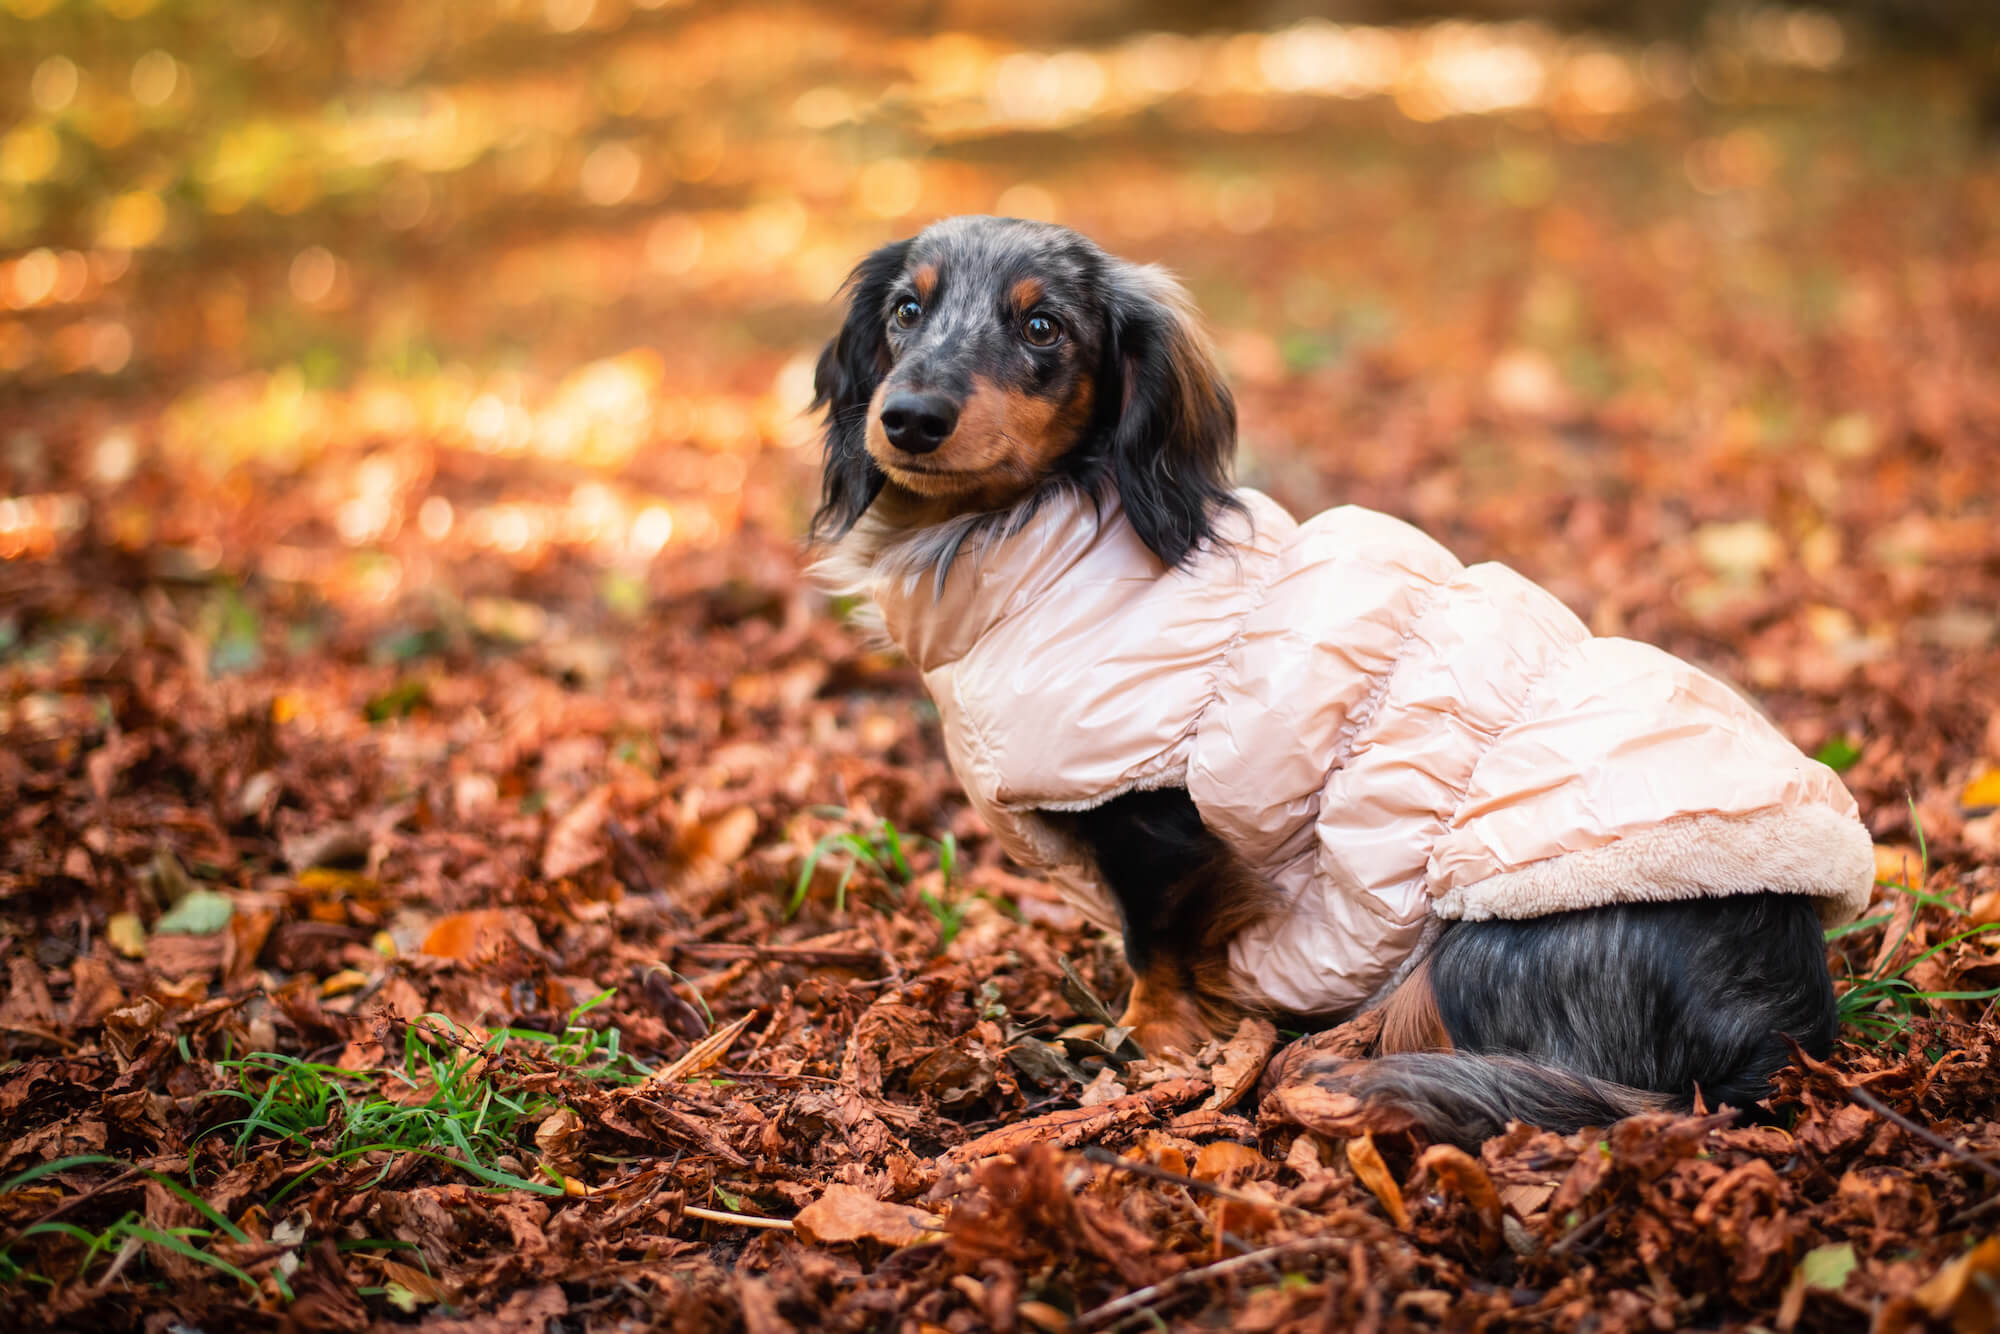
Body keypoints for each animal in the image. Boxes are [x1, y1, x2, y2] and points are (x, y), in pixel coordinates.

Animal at [804, 217, 1864, 1152]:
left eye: (1042, 327)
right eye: (906, 310)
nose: (908, 420)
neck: (1050, 536)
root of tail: (1777, 1034)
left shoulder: (1156, 812)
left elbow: (1155, 945)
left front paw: (1156, 1041)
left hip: (1482, 944)